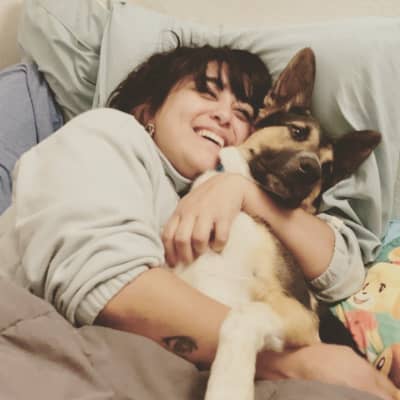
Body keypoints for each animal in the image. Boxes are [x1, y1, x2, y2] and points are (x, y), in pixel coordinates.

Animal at [173, 48, 383, 400]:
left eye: (328, 170)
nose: (312, 170)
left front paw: (228, 387)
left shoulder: (301, 316)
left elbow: (240, 318)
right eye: (297, 132)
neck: (244, 211)